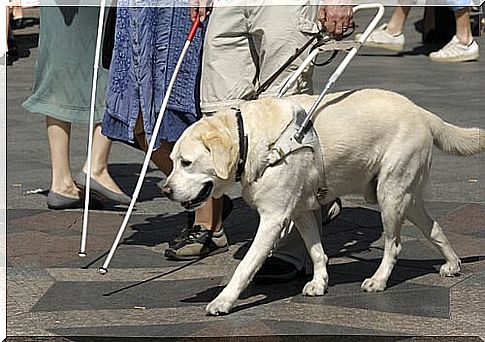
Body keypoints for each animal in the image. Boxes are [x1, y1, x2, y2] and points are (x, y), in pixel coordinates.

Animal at [162, 88, 480, 316]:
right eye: (172, 161)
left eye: (186, 162)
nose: (165, 190)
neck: (252, 139)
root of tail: (421, 111)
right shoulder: (301, 211)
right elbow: (316, 251)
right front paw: (319, 282)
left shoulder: (273, 218)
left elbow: (245, 266)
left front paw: (224, 300)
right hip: (406, 197)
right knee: (434, 227)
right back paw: (452, 264)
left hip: (390, 195)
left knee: (394, 245)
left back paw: (379, 280)